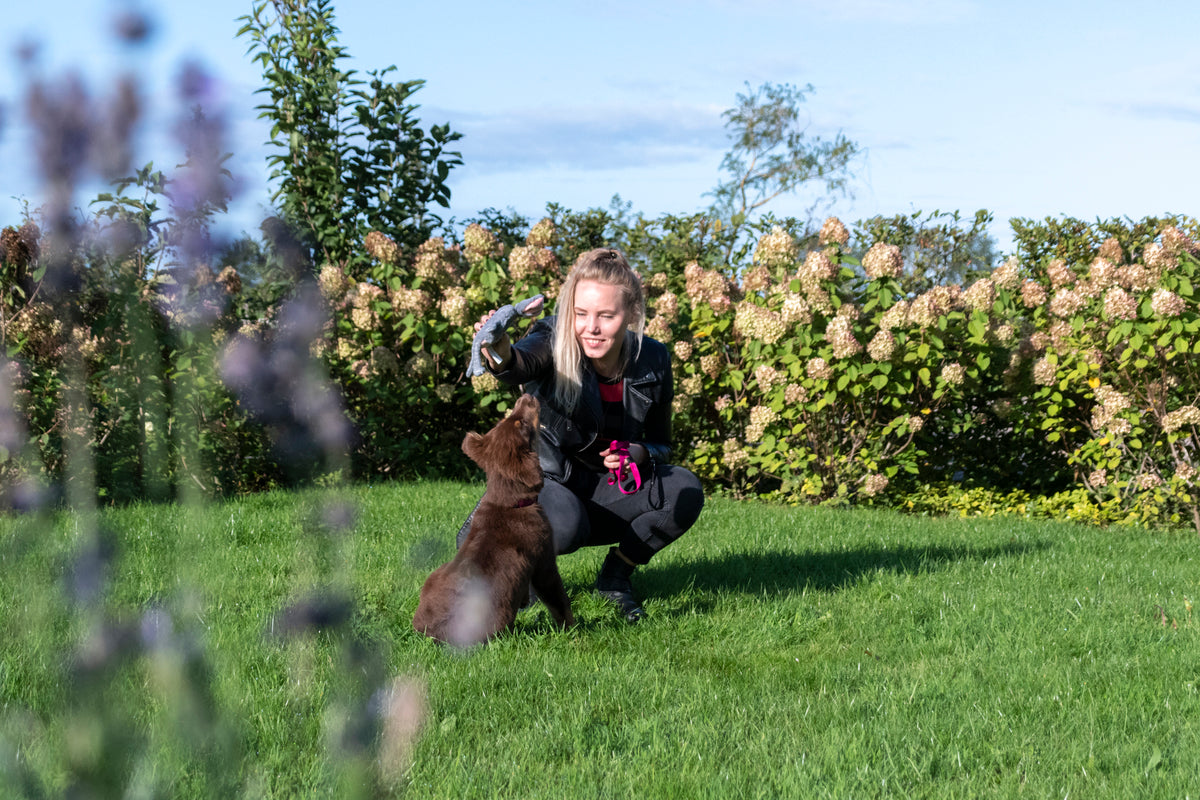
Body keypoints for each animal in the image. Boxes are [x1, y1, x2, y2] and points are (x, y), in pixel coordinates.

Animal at [415, 398, 573, 647]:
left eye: (507, 421)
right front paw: (573, 629)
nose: (525, 397)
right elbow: (559, 601)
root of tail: (431, 636)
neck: (508, 502)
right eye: (521, 423)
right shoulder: (544, 562)